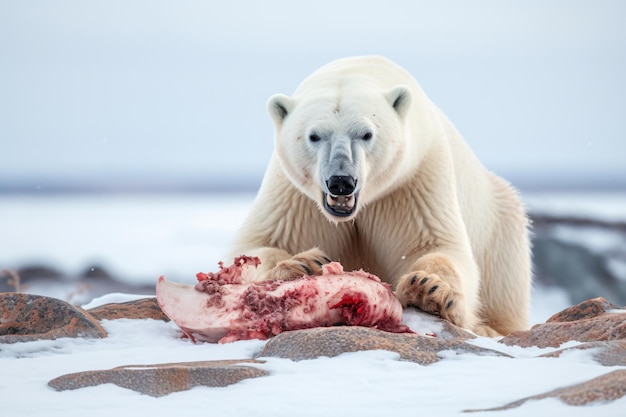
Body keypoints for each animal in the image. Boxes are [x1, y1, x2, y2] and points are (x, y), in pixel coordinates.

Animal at [229, 54, 528, 334]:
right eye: (314, 135)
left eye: (366, 134)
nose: (341, 181)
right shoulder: (293, 194)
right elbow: (260, 242)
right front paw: (303, 263)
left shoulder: (413, 181)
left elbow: (437, 245)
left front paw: (428, 289)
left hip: (501, 227)